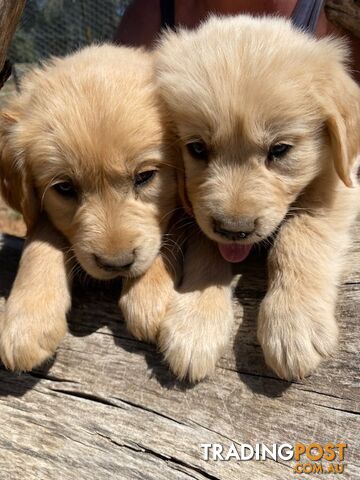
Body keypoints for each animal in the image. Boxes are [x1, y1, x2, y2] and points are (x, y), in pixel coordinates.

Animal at [0, 44, 179, 372]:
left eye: (145, 177)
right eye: (65, 188)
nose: (117, 265)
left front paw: (150, 295)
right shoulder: (41, 212)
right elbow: (40, 239)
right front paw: (27, 320)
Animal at [155, 15, 360, 380]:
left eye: (279, 150)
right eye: (197, 149)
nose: (235, 230)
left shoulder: (338, 185)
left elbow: (300, 236)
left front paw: (294, 322)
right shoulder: (198, 212)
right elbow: (207, 246)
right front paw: (195, 323)